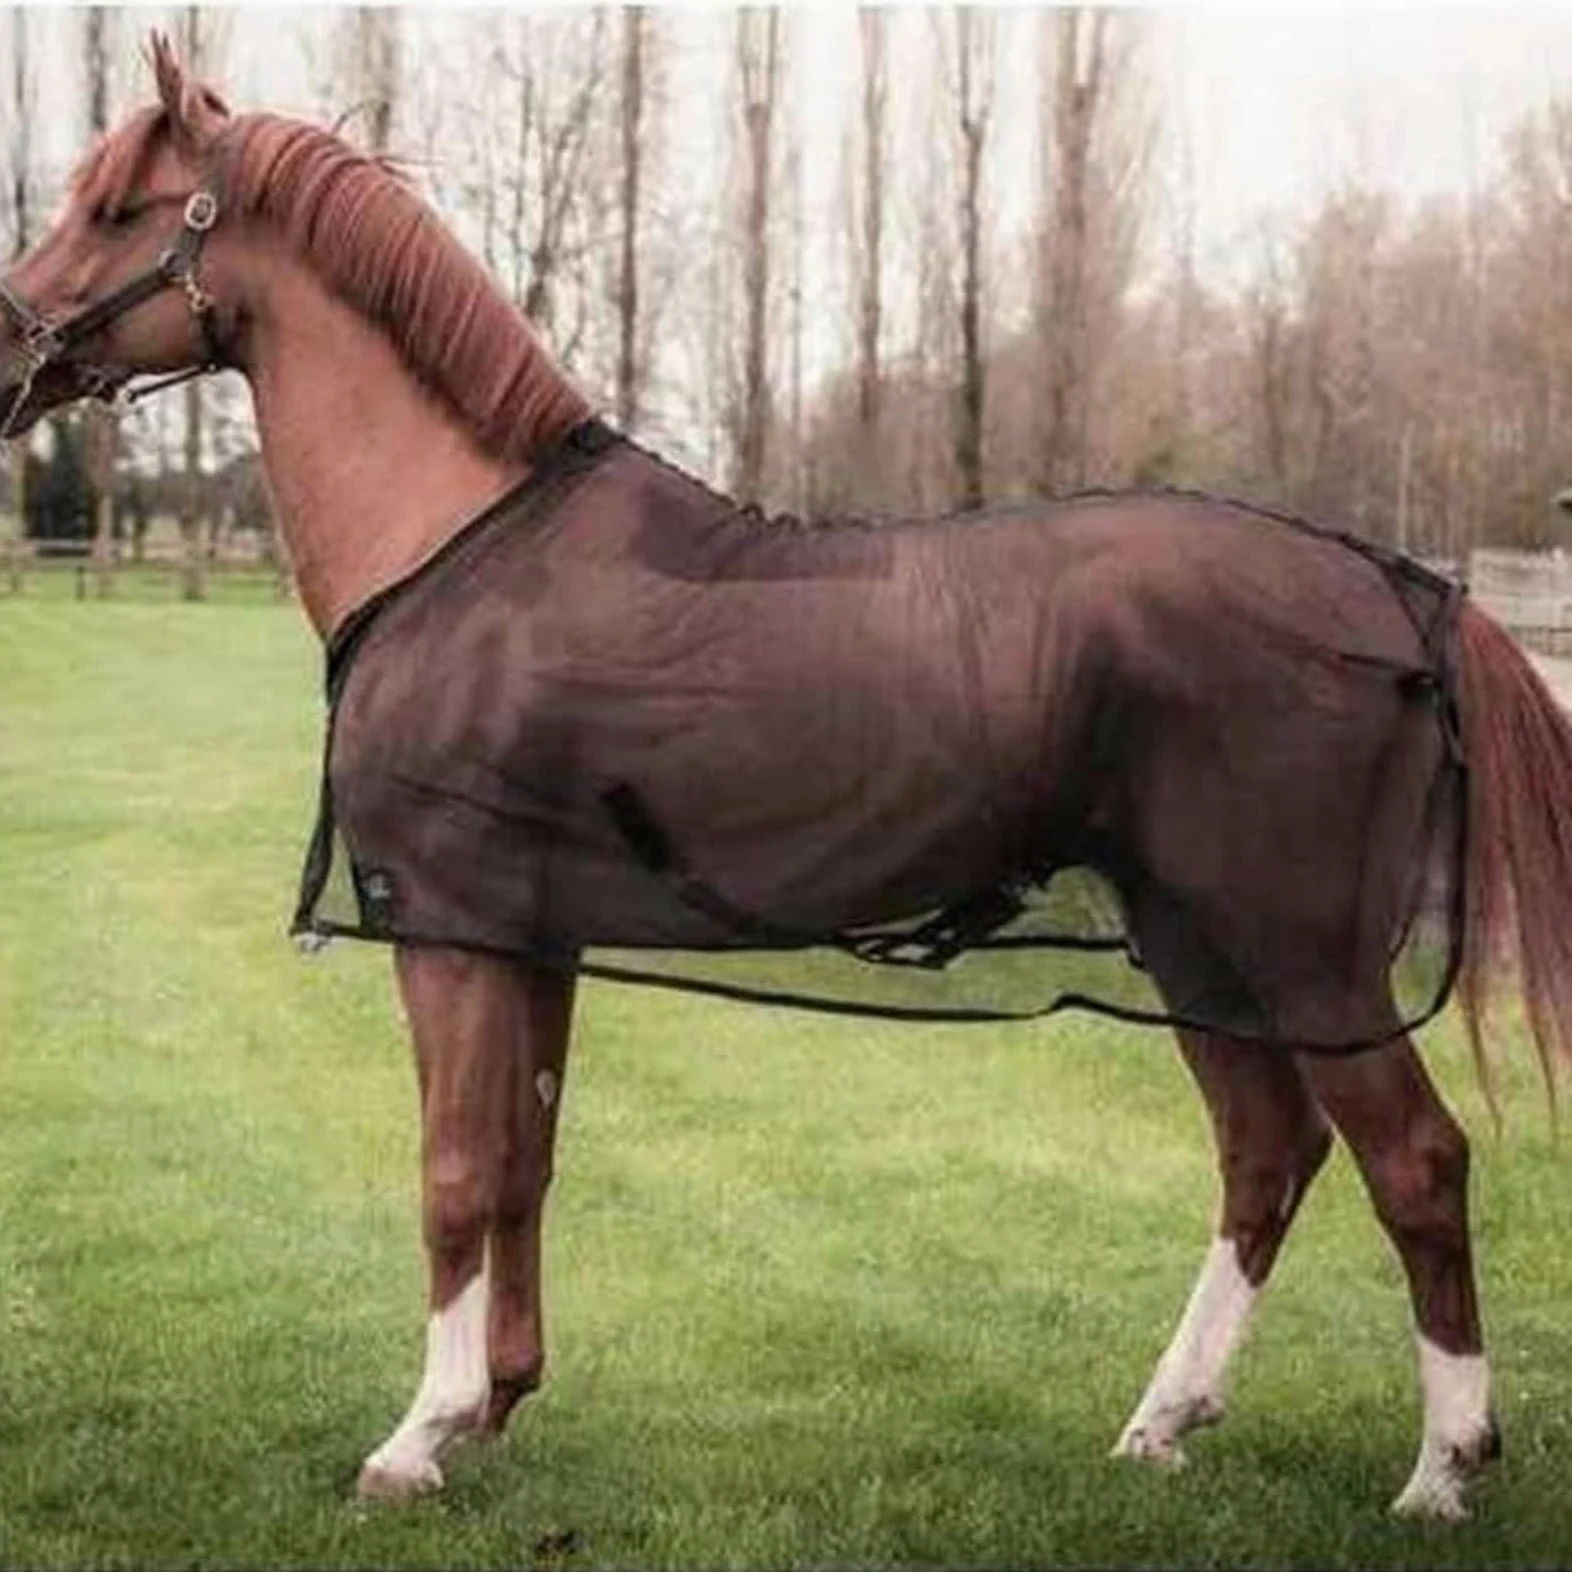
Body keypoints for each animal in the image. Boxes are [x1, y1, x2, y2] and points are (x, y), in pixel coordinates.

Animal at [4, 37, 1571, 1525]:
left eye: (115, 207)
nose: (10, 351)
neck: (460, 547)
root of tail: (1397, 585)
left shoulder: (449, 932)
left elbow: (452, 1171)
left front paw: (415, 1439)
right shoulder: (533, 940)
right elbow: (522, 1160)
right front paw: (497, 1405)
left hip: (1303, 956)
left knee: (1415, 1163)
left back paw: (1444, 1469)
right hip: (1195, 944)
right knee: (1267, 1153)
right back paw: (1162, 1425)